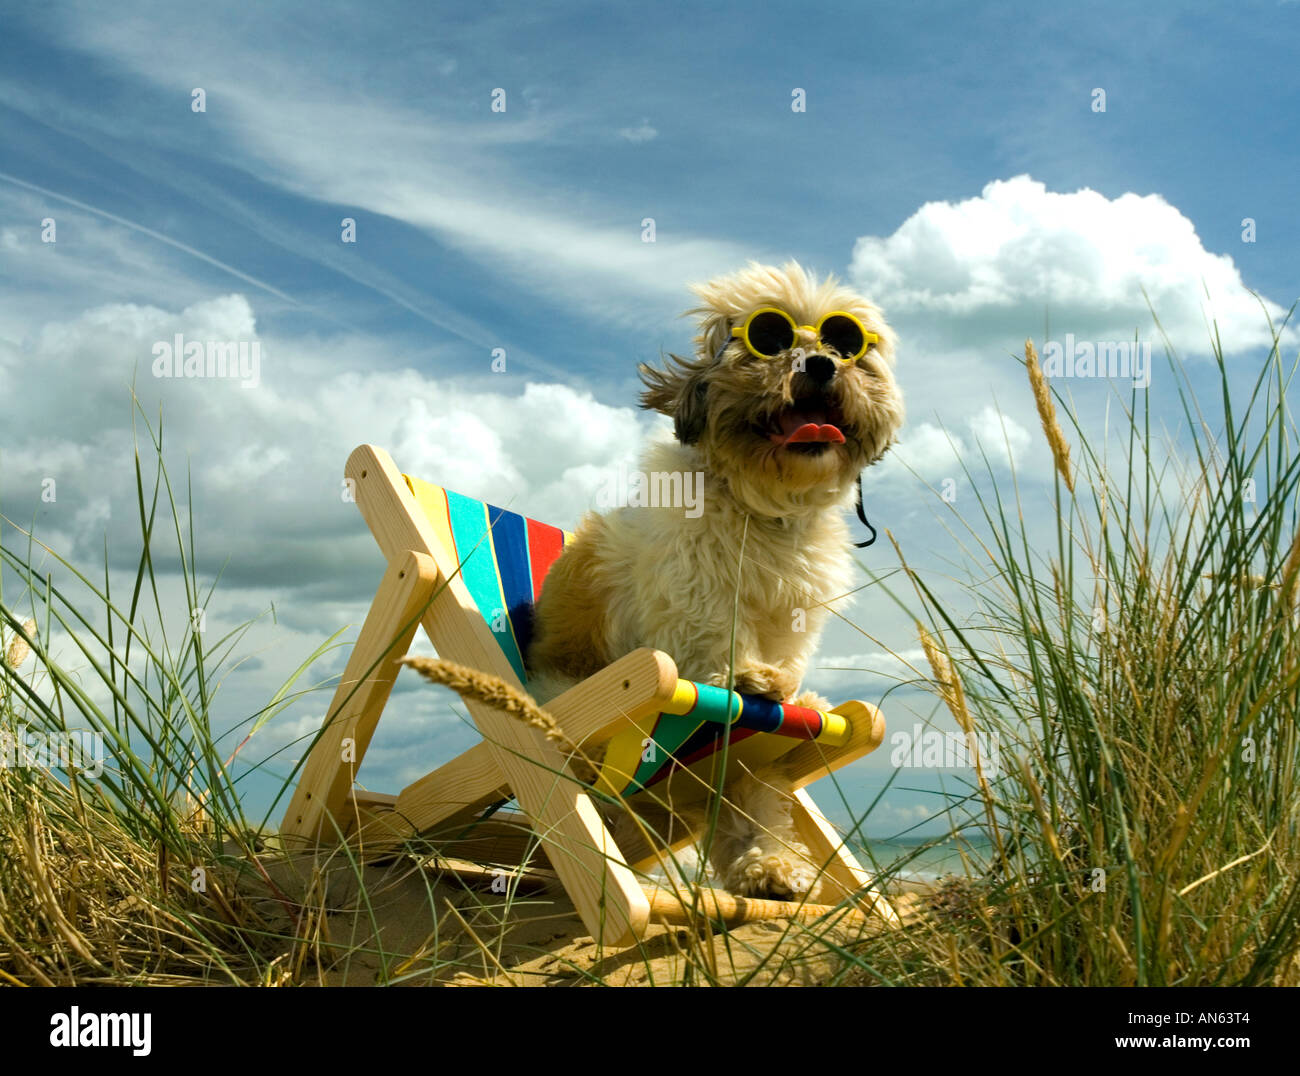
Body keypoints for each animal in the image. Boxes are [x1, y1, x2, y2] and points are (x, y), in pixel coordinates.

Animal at [527, 261, 904, 899]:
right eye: (770, 338)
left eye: (843, 343)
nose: (819, 364)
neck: (763, 504)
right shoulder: (694, 590)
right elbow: (713, 634)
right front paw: (747, 676)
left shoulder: (789, 623)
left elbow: (754, 777)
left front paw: (766, 858)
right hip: (568, 704)